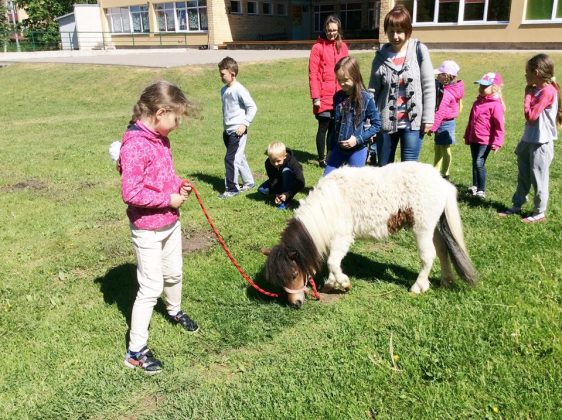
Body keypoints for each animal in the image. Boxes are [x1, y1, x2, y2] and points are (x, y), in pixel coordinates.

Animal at [263, 162, 477, 307]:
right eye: (278, 280)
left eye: (293, 274)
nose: (295, 303)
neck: (330, 203)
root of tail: (442, 182)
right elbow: (333, 262)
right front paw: (331, 284)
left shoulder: (343, 236)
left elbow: (332, 262)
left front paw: (343, 283)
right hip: (434, 227)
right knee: (442, 251)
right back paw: (446, 281)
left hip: (422, 228)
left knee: (428, 256)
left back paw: (419, 286)